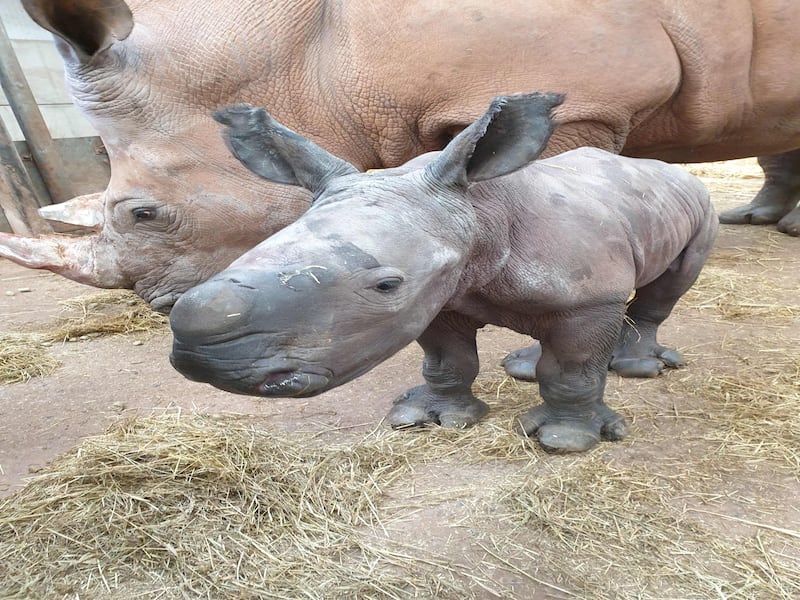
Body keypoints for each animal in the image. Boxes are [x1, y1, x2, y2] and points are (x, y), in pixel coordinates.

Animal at [170, 92, 720, 450]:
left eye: (386, 285)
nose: (204, 358)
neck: (479, 213)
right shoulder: (437, 294)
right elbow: (447, 361)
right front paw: (431, 418)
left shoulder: (589, 298)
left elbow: (572, 369)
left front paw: (565, 439)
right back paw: (523, 366)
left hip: (699, 205)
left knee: (665, 290)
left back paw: (636, 367)